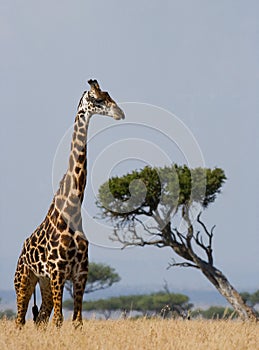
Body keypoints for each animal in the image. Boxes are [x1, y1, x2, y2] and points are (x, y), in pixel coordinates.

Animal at [14, 80, 126, 328]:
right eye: (98, 99)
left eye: (109, 95)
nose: (120, 113)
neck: (73, 209)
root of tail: (22, 250)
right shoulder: (58, 272)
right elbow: (59, 320)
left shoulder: (80, 274)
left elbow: (76, 321)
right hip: (24, 280)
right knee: (20, 320)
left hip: (44, 283)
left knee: (40, 318)